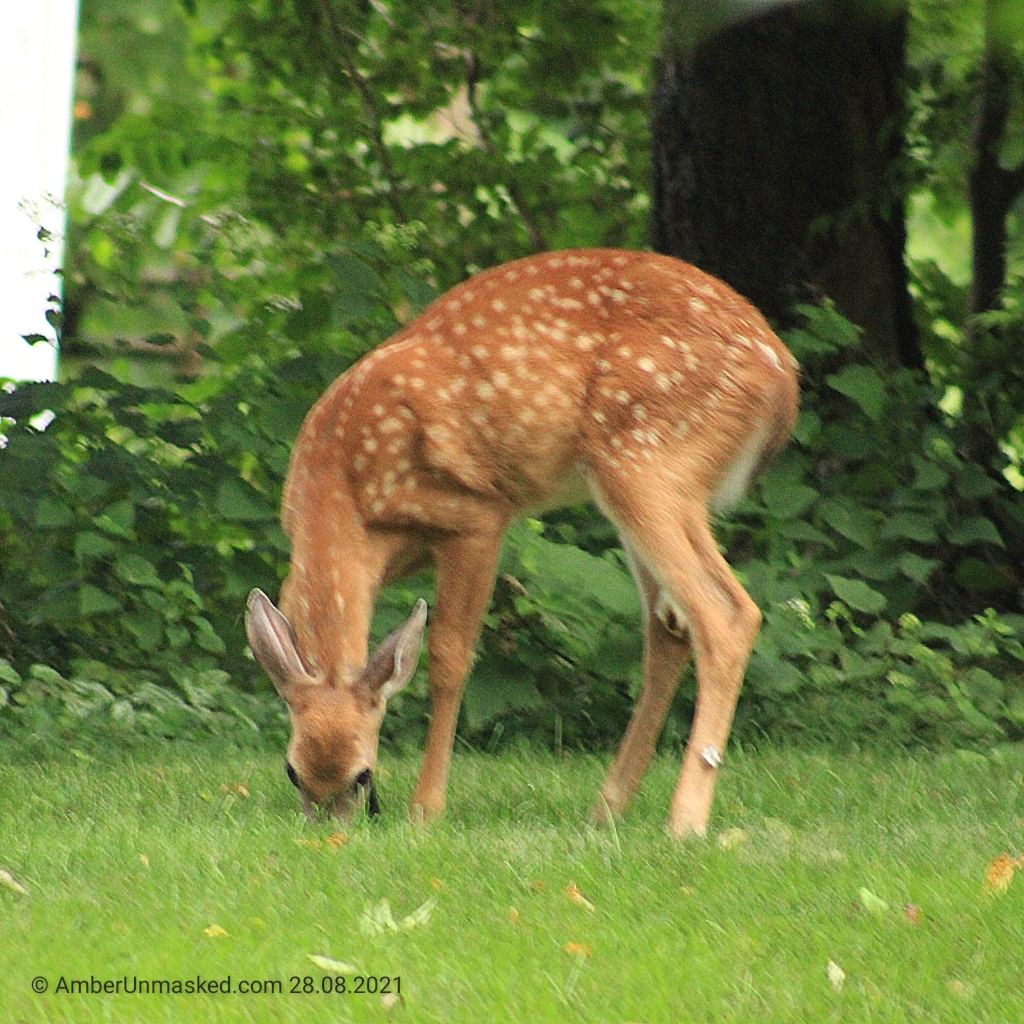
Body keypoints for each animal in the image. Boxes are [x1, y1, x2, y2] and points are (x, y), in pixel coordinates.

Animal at [245, 248, 799, 837]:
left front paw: (427, 809)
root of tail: (783, 375)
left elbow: (449, 658)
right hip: (656, 486)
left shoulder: (478, 516)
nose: (332, 830)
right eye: (292, 772)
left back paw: (685, 820)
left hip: (645, 458)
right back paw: (606, 810)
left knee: (726, 615)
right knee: (669, 628)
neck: (343, 489)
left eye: (363, 775)